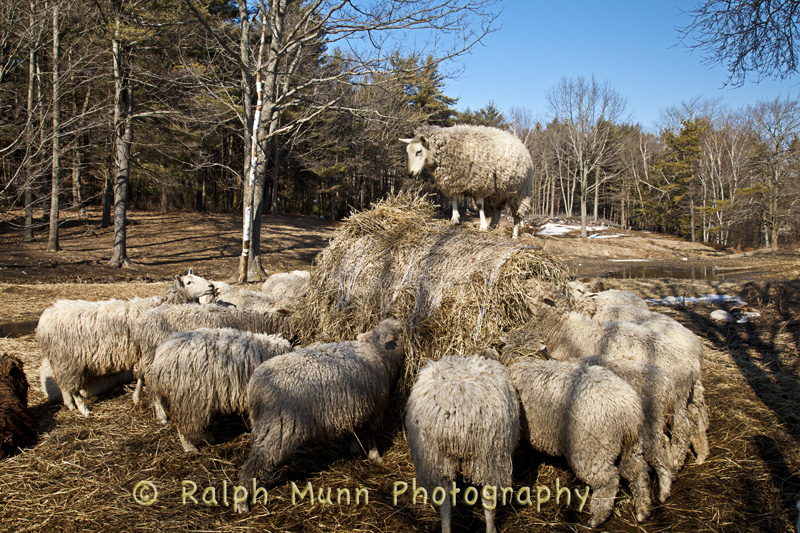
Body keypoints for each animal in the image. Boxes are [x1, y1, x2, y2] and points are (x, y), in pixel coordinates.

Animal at [145, 326, 292, 450]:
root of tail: (161, 354)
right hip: (188, 397)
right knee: (184, 426)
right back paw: (190, 447)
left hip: (196, 398)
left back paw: (208, 437)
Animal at [234, 316, 404, 512]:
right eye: (399, 332)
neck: (377, 352)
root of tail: (255, 386)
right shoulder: (376, 409)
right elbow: (371, 436)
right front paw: (376, 457)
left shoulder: (354, 409)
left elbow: (354, 432)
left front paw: (354, 449)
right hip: (279, 426)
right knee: (255, 463)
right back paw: (243, 503)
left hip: (262, 424)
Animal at [398, 124, 532, 237]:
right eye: (407, 152)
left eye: (419, 151)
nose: (411, 173)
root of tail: (521, 144)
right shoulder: (453, 179)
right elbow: (453, 199)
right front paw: (454, 219)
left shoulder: (480, 182)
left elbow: (479, 205)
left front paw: (482, 226)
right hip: (497, 195)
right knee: (497, 213)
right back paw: (492, 227)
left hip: (519, 192)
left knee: (516, 215)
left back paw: (514, 235)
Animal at [404, 354, 520, 532]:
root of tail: (457, 415)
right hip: (487, 456)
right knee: (487, 495)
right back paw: (491, 528)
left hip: (436, 457)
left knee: (444, 497)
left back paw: (446, 528)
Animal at [510, 356, 652, 524]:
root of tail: (628, 413)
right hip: (633, 445)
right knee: (637, 470)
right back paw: (642, 510)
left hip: (591, 450)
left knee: (608, 481)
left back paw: (597, 518)